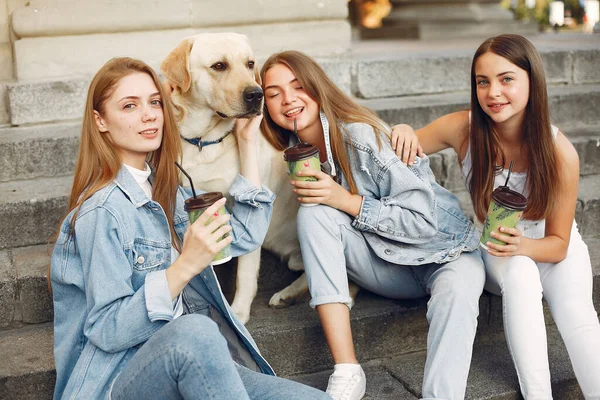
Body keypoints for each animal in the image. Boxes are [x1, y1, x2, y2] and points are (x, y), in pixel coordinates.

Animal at [159, 32, 310, 324]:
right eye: (219, 66)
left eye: (250, 64)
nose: (256, 94)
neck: (203, 142)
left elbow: (245, 272)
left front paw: (238, 311)